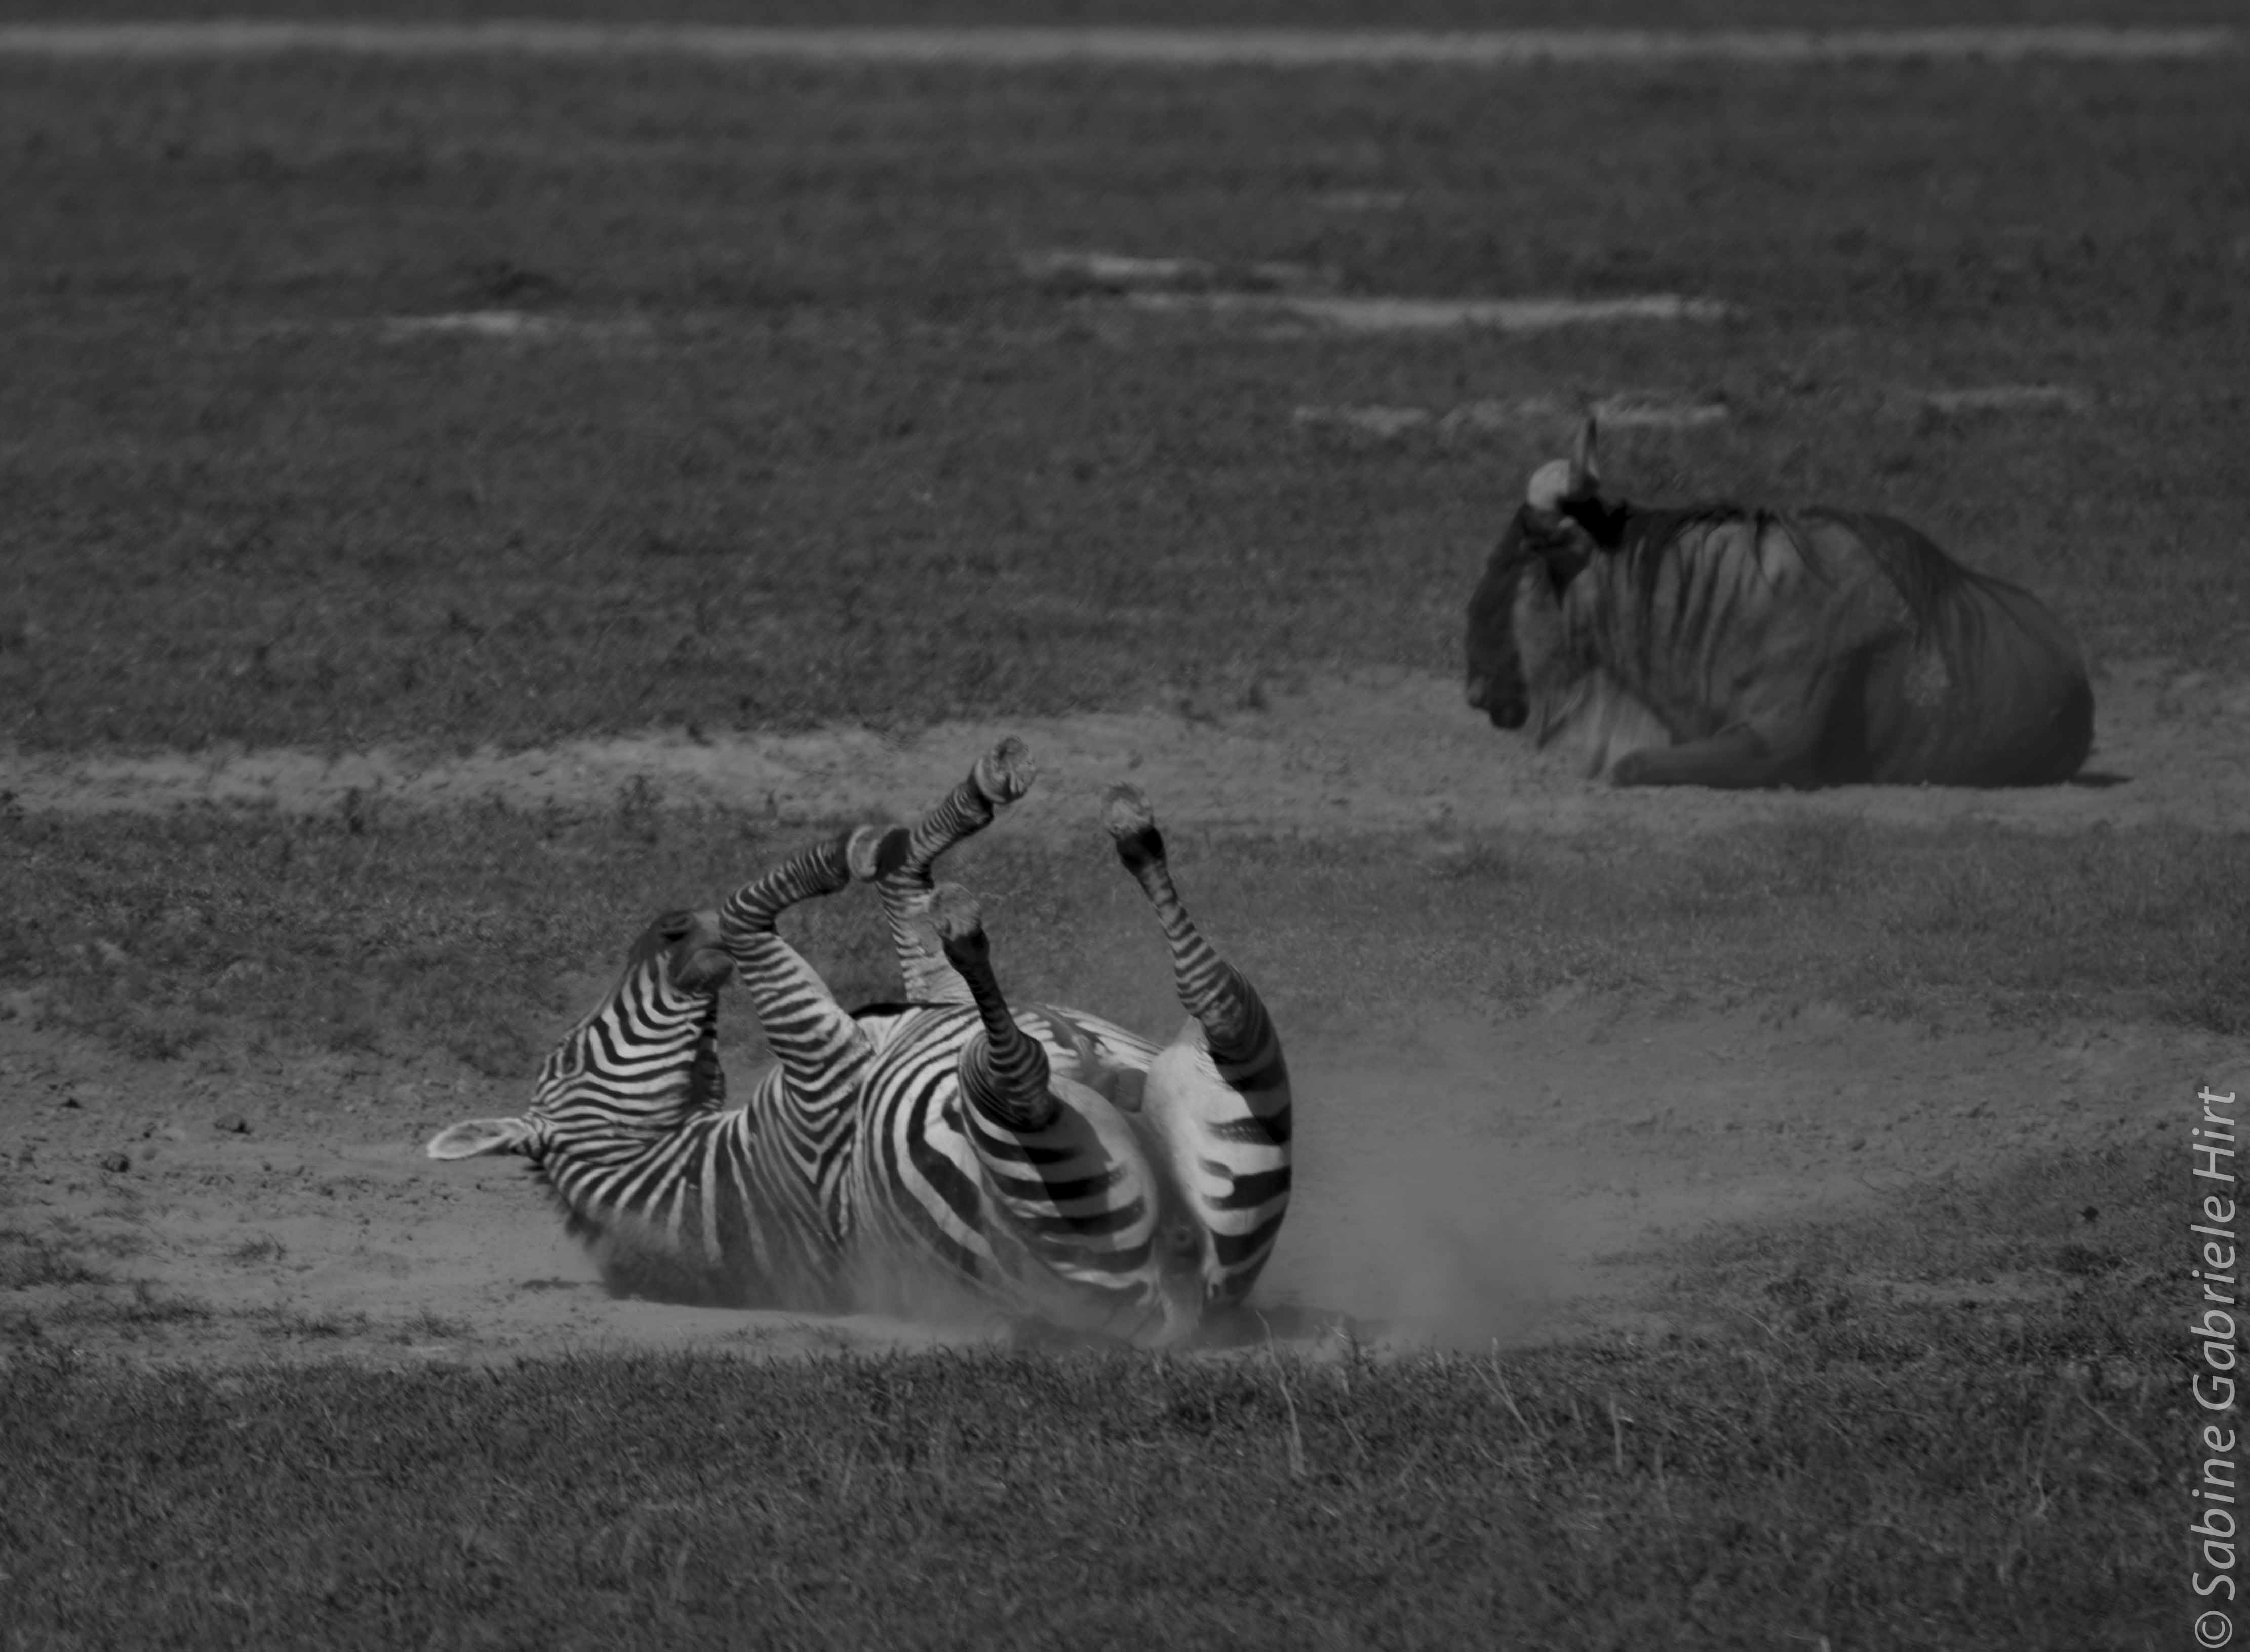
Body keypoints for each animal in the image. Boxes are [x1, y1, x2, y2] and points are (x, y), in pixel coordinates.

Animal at [426, 740, 1293, 1347]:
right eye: (569, 1055)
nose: (669, 922)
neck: (702, 1169)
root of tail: (1177, 1303)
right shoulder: (824, 1072)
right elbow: (756, 908)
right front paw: (861, 848)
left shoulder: (906, 1014)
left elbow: (899, 898)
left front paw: (958, 802)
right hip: (1014, 1123)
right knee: (1030, 1068)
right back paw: (1031, 893)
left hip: (1236, 1107)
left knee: (1214, 1002)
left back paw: (1120, 834)